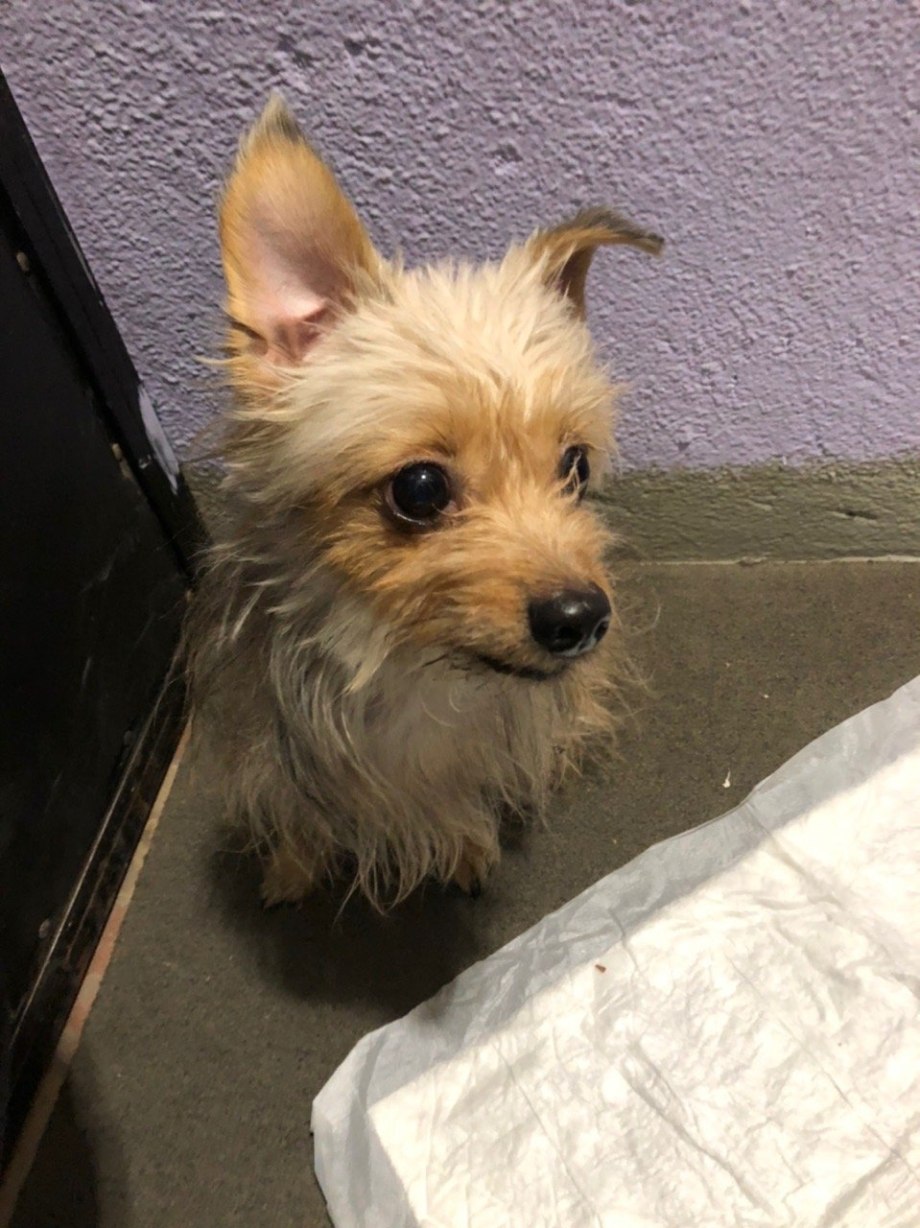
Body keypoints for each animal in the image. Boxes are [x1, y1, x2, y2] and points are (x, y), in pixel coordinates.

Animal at [187, 96, 662, 907]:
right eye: (419, 489)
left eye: (574, 467)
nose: (583, 617)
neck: (400, 664)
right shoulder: (269, 757)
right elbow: (296, 817)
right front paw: (292, 868)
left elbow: (460, 805)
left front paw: (467, 849)